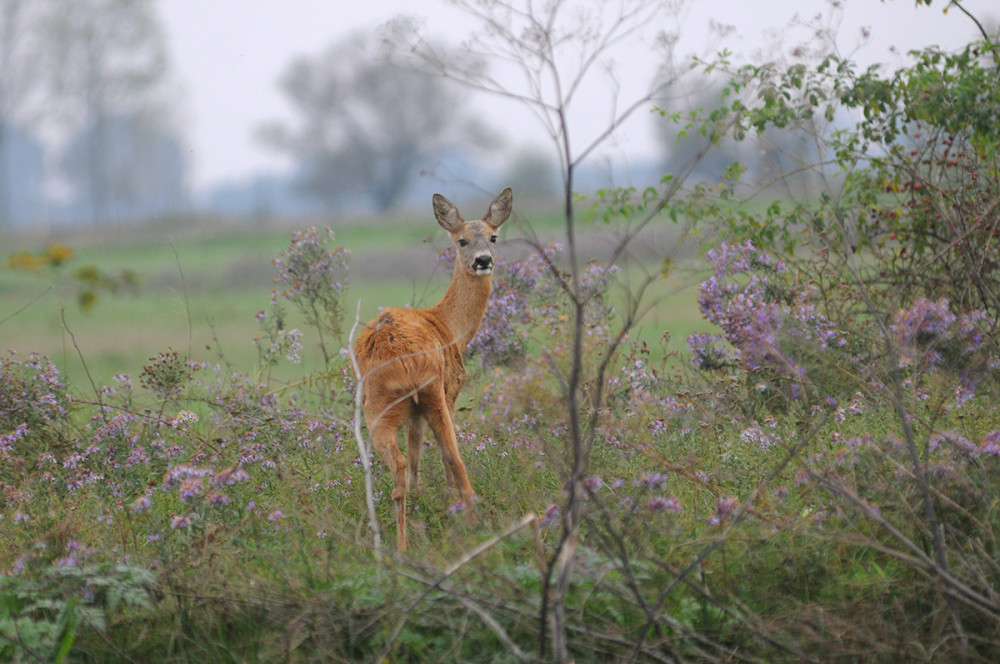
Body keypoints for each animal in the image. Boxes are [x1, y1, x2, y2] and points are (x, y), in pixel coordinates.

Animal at [354, 185, 512, 548]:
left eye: (494, 237)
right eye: (462, 240)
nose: (484, 260)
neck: (449, 326)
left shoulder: (413, 413)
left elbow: (415, 456)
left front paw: (421, 500)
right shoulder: (452, 388)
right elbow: (444, 456)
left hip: (379, 406)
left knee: (399, 462)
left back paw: (398, 545)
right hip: (433, 391)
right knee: (454, 457)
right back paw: (472, 523)